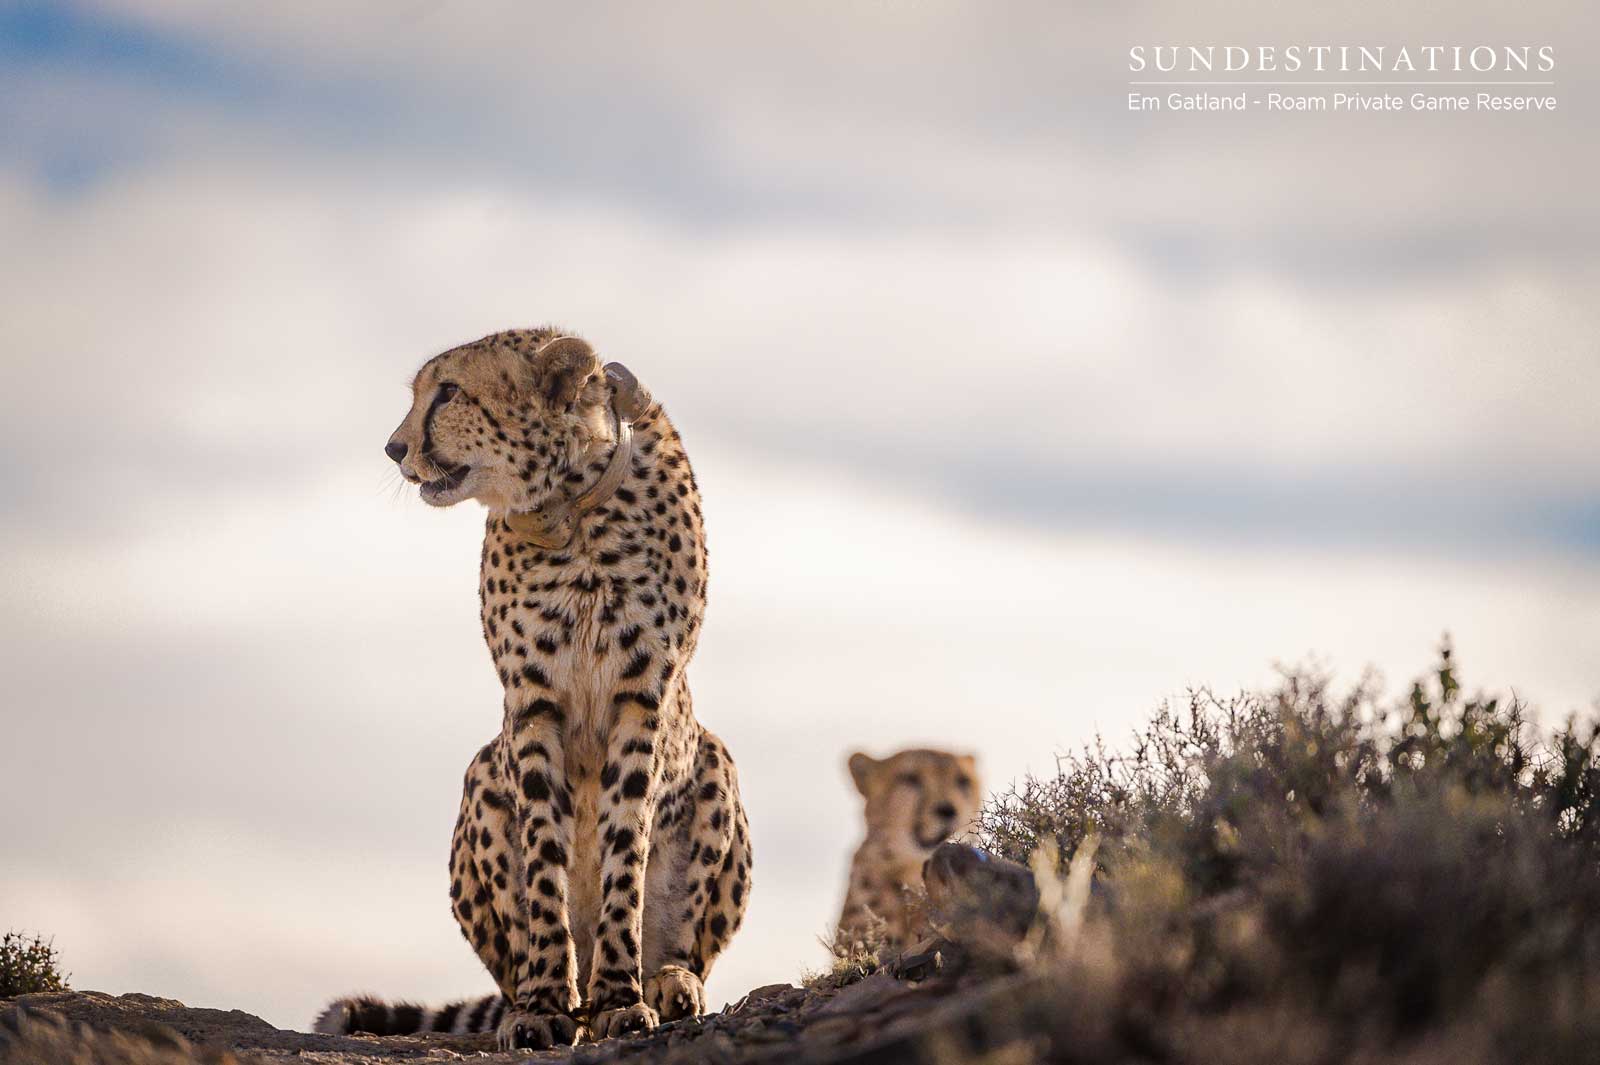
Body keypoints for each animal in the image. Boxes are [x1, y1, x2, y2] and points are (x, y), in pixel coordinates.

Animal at [314, 328, 751, 1050]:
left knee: (686, 944)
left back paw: (667, 982)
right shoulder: (531, 703)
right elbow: (544, 853)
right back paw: (541, 998)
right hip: (482, 772)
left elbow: (625, 850)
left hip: (715, 760)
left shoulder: (642, 697)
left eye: (449, 392)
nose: (395, 448)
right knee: (512, 957)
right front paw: (545, 1004)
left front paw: (622, 998)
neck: (570, 509)